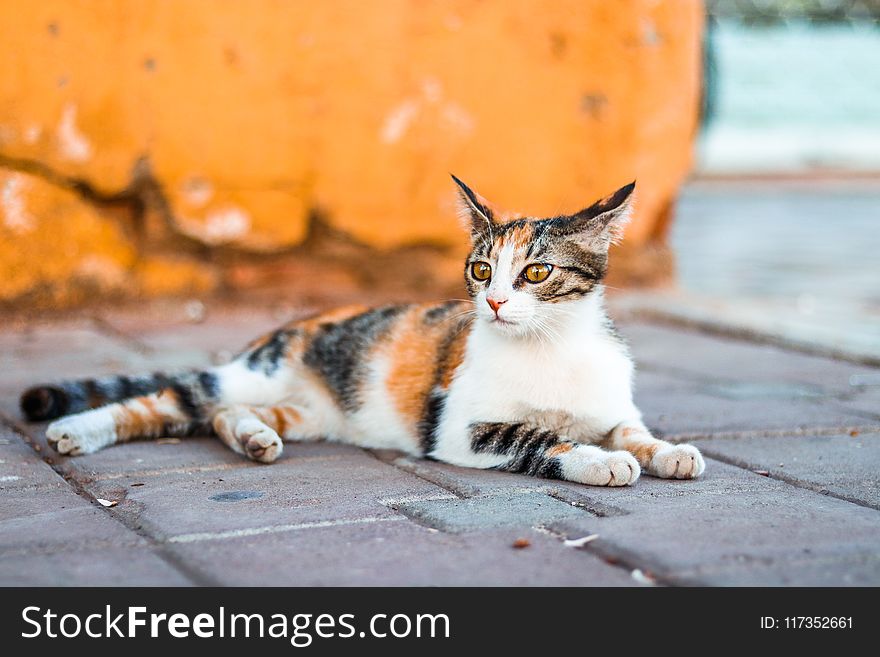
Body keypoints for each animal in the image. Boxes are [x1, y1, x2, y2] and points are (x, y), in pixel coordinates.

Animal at [20, 177, 704, 484]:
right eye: (482, 268)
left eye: (536, 271)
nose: (494, 302)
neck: (550, 348)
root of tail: (290, 326)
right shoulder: (458, 429)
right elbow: (535, 437)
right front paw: (597, 460)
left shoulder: (612, 405)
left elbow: (633, 431)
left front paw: (667, 451)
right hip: (248, 375)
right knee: (171, 399)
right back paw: (74, 430)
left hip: (309, 411)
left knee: (222, 417)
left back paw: (254, 438)